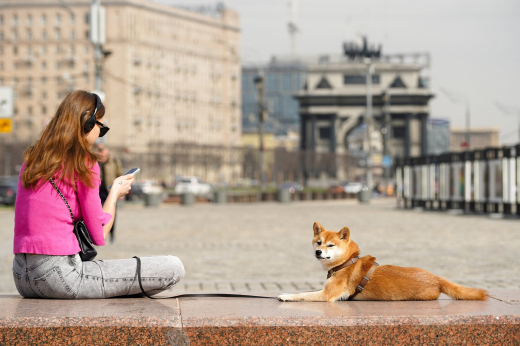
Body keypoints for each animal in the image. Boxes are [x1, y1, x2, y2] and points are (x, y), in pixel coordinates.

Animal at [278, 223, 490, 302]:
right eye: (318, 242)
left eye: (331, 245)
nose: (318, 251)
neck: (347, 262)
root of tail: (435, 277)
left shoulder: (327, 295)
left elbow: (302, 294)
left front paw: (286, 295)